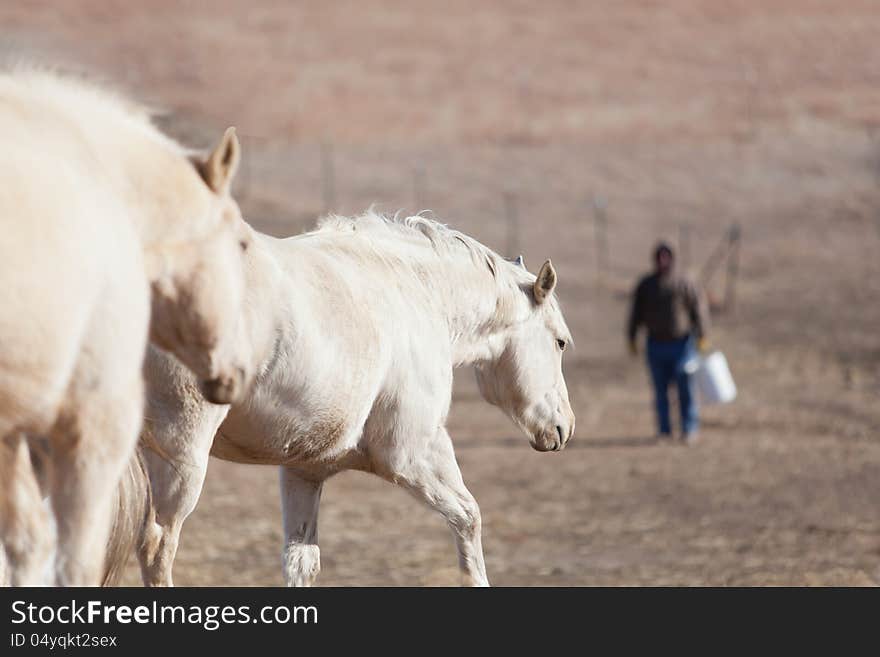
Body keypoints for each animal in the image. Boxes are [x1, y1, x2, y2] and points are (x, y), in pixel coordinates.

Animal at [108, 213, 576, 588]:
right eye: (560, 342)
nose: (564, 428)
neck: (416, 292)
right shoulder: (414, 454)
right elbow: (468, 518)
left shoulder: (304, 471)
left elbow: (301, 563)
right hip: (180, 455)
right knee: (157, 545)